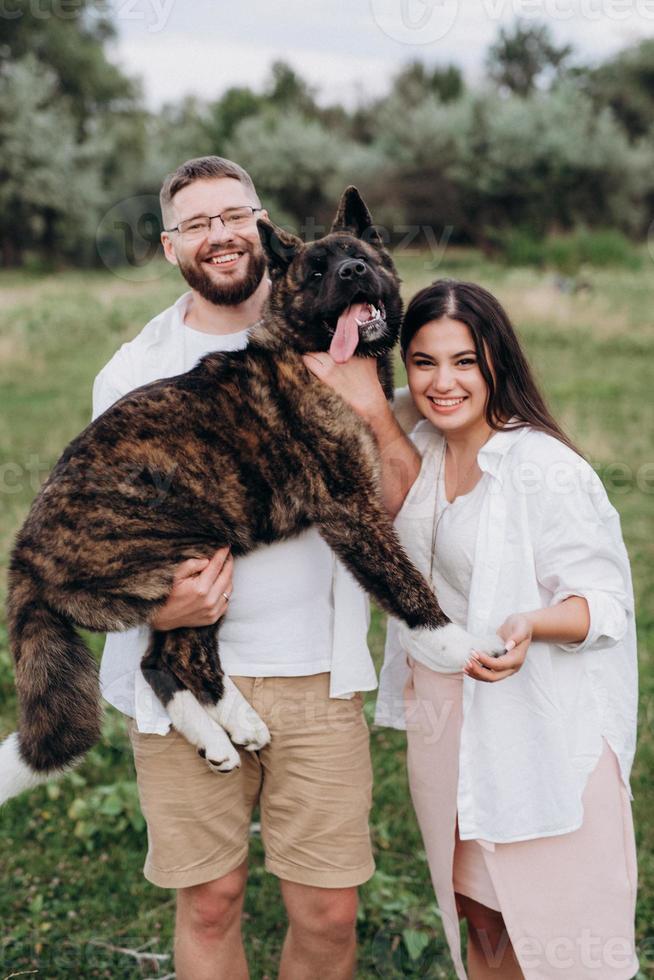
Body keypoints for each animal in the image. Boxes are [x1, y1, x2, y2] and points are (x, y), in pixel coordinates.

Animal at [0, 191, 490, 804]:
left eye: (356, 255)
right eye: (316, 273)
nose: (353, 273)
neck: (313, 355)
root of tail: (25, 556)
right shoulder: (350, 507)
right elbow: (404, 584)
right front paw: (459, 646)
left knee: (159, 661)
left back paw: (222, 736)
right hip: (192, 556)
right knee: (178, 655)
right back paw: (235, 725)